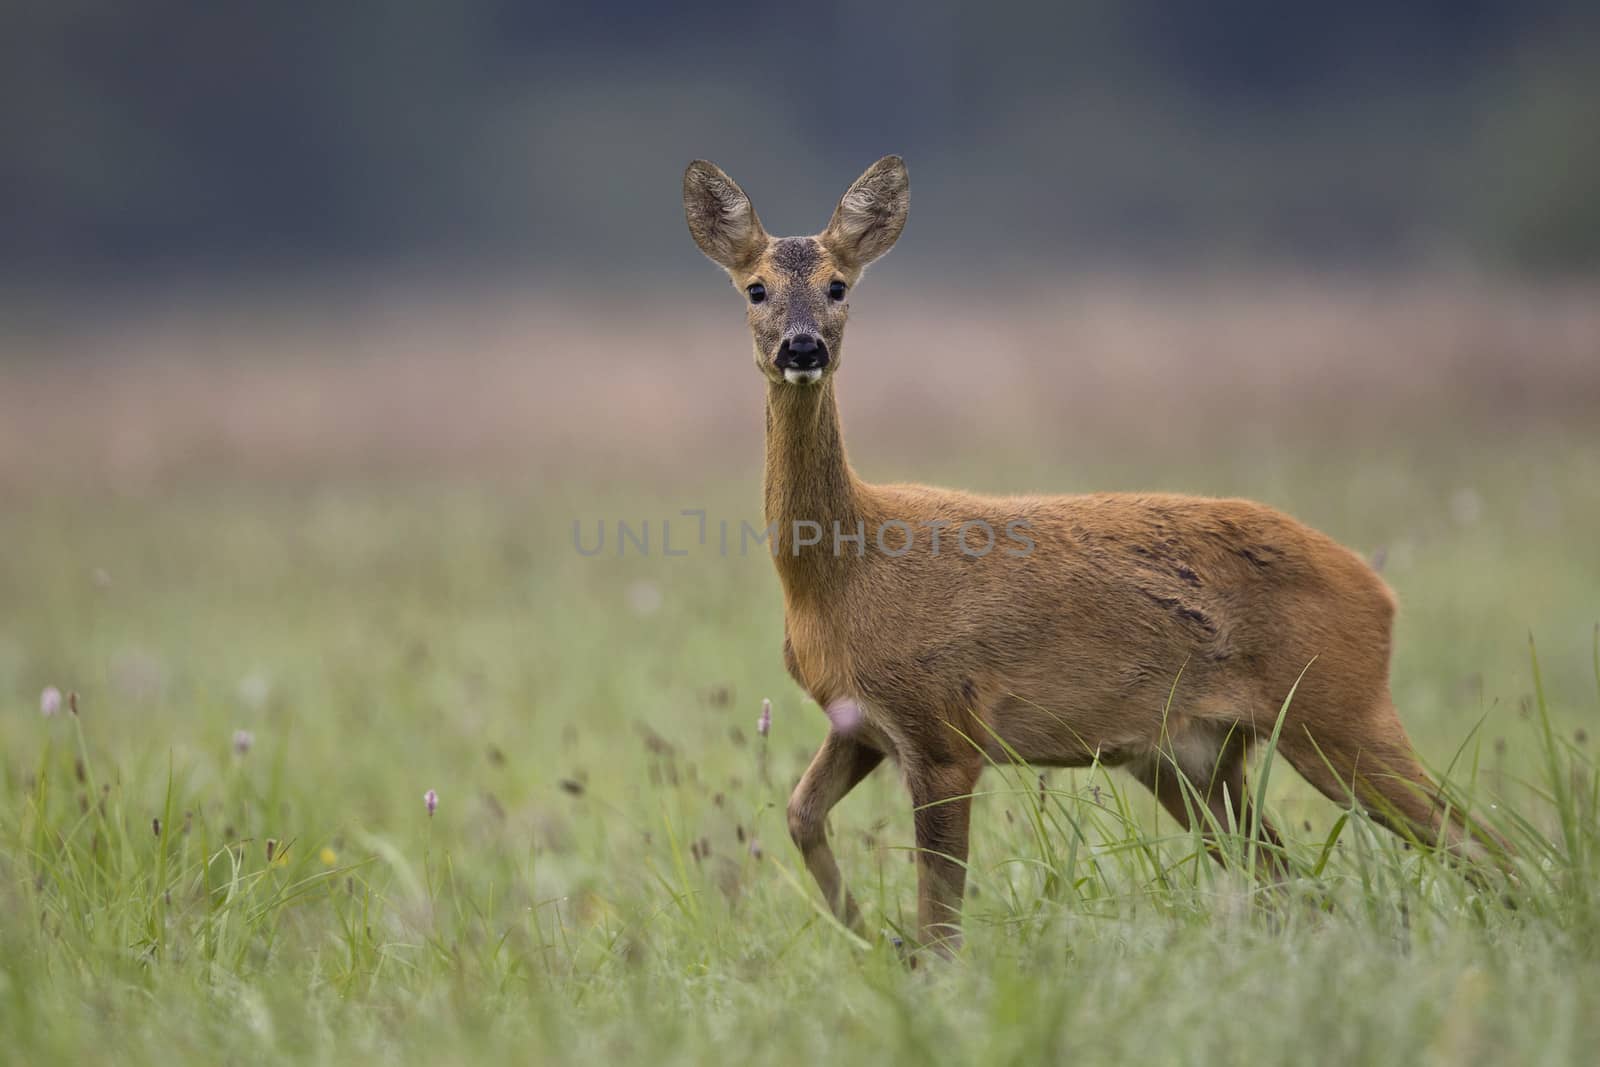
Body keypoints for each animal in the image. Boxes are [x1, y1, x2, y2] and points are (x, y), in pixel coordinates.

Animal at [681, 154, 1504, 953]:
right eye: (755, 288)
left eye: (838, 285)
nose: (803, 347)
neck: (843, 573)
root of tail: (1381, 591)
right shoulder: (862, 722)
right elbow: (800, 814)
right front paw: (866, 936)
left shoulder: (944, 724)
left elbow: (941, 916)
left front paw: (913, 962)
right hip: (1191, 756)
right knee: (1290, 880)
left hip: (1339, 708)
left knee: (1480, 844)